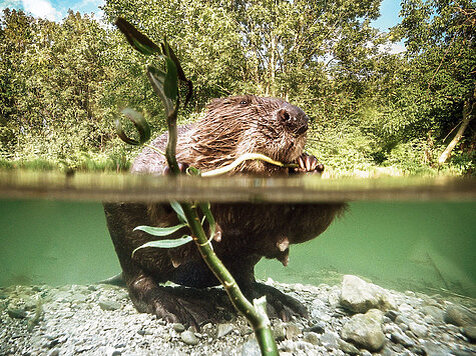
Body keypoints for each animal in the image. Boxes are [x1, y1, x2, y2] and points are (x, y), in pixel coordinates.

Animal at [103, 95, 346, 328]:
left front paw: (308, 164)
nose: (297, 118)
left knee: (247, 282)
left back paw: (281, 302)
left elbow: (302, 228)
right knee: (140, 282)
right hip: (124, 245)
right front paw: (179, 173)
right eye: (244, 101)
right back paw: (182, 308)